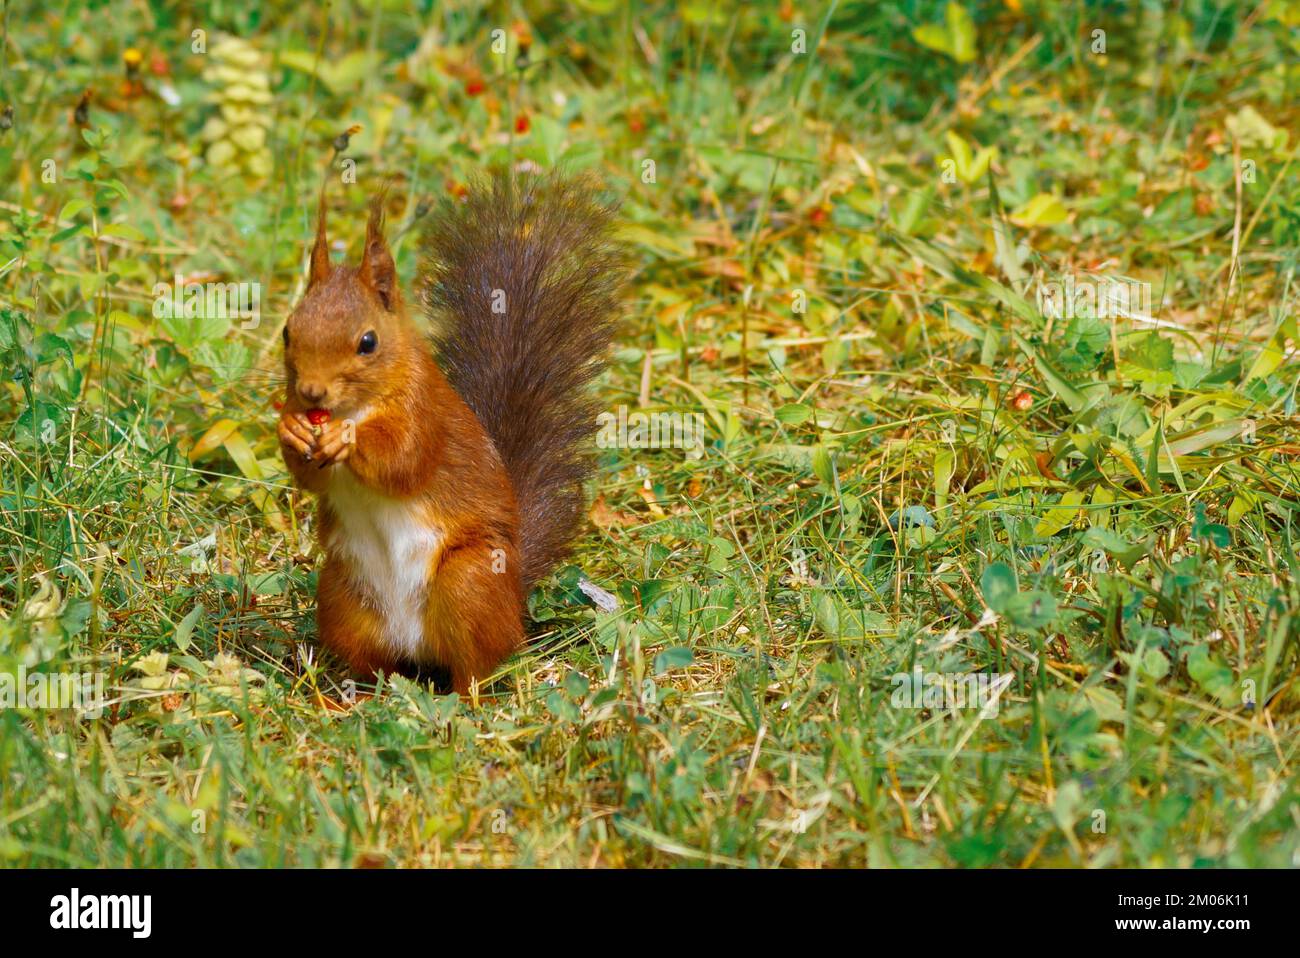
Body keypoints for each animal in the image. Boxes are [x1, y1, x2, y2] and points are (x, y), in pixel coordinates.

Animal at [279, 174, 629, 696]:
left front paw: (349, 439)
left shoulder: (426, 415)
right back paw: (346, 699)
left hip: (470, 582)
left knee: (475, 667)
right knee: (373, 667)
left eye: (368, 342)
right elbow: (311, 479)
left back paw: (466, 700)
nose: (311, 392)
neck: (358, 406)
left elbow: (404, 461)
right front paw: (291, 429)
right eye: (287, 331)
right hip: (342, 595)